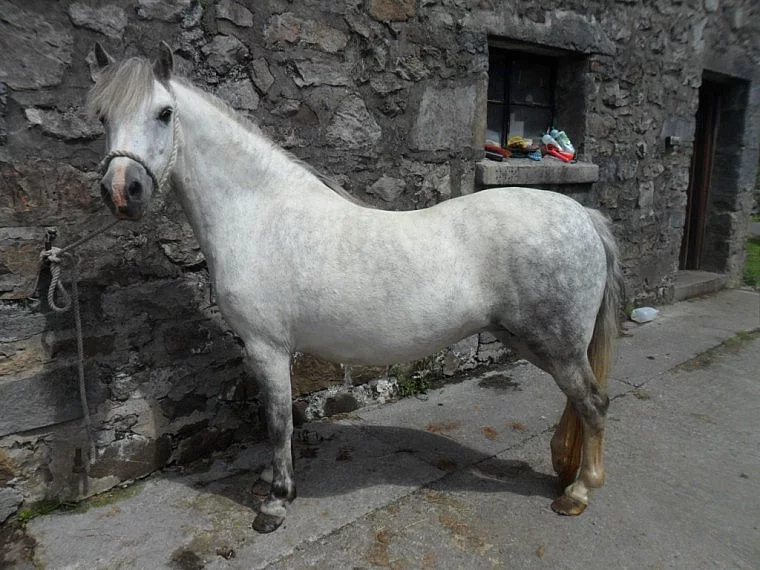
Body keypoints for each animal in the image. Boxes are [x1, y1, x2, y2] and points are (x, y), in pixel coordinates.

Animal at [88, 42, 622, 533]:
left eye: (164, 113)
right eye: (102, 116)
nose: (122, 192)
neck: (258, 213)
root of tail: (582, 216)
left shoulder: (268, 348)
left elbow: (277, 422)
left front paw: (276, 502)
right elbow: (274, 420)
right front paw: (266, 482)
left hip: (555, 343)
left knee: (592, 403)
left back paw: (578, 491)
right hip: (539, 342)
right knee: (577, 402)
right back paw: (565, 470)